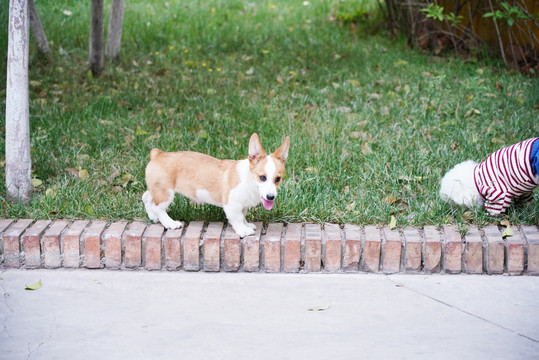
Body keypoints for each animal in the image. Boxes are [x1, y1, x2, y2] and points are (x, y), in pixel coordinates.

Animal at [141, 134, 288, 238]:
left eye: (278, 179)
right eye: (262, 177)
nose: (271, 197)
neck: (248, 180)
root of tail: (158, 154)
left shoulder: (243, 205)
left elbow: (243, 216)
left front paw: (247, 225)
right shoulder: (232, 205)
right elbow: (238, 218)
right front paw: (243, 230)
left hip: (156, 189)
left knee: (146, 198)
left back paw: (153, 217)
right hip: (165, 193)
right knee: (158, 207)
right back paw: (170, 223)